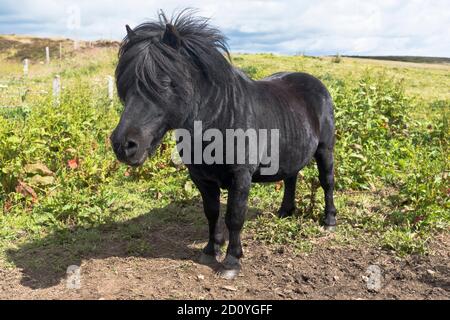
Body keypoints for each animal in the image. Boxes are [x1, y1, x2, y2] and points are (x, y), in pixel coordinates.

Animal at [112, 10, 336, 278]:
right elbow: (212, 213)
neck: (221, 117)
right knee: (291, 177)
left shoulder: (241, 176)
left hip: (325, 150)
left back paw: (329, 221)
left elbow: (234, 217)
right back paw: (284, 212)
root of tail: (317, 84)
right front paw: (211, 250)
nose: (123, 145)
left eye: (164, 83)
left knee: (327, 182)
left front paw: (231, 261)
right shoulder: (201, 177)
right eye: (124, 84)